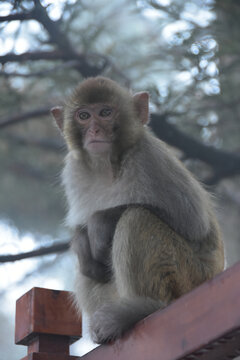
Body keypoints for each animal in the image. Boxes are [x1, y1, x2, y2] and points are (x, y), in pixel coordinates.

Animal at [51, 76, 225, 344]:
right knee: (87, 265)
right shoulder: (73, 171)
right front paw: (80, 238)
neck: (108, 166)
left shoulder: (150, 157)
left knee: (136, 218)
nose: (94, 130)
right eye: (83, 116)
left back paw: (145, 308)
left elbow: (194, 223)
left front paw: (100, 221)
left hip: (191, 277)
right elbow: (83, 237)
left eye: (105, 112)